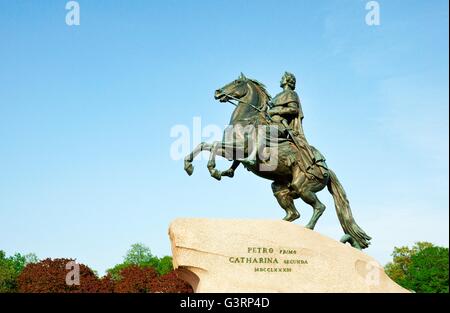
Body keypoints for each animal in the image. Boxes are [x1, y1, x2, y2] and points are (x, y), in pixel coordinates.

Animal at [182, 73, 370, 249]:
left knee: (319, 207)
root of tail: (327, 171)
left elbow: (213, 145)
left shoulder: (239, 148)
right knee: (293, 214)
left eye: (237, 82)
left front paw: (213, 169)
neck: (245, 118)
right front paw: (190, 166)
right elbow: (204, 145)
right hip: (281, 189)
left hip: (302, 188)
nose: (217, 92)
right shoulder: (232, 151)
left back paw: (307, 228)